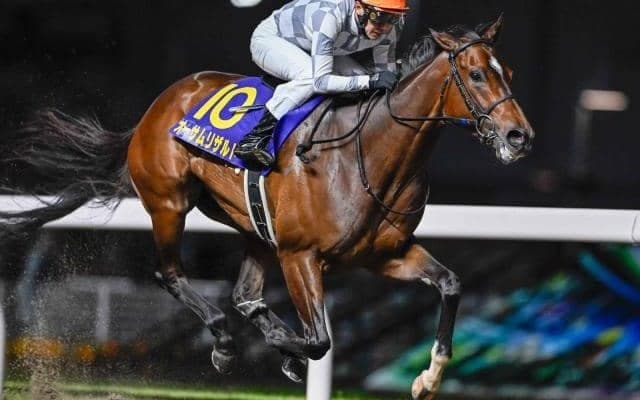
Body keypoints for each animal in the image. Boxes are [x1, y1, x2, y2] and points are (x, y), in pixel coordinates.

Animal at [1, 16, 533, 400]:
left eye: (508, 73)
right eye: (476, 74)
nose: (519, 136)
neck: (370, 153)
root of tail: (157, 107)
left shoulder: (386, 254)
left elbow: (450, 284)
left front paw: (427, 379)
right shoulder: (301, 255)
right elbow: (320, 340)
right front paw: (283, 351)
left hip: (252, 225)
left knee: (243, 294)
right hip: (170, 202)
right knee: (170, 276)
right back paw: (224, 342)